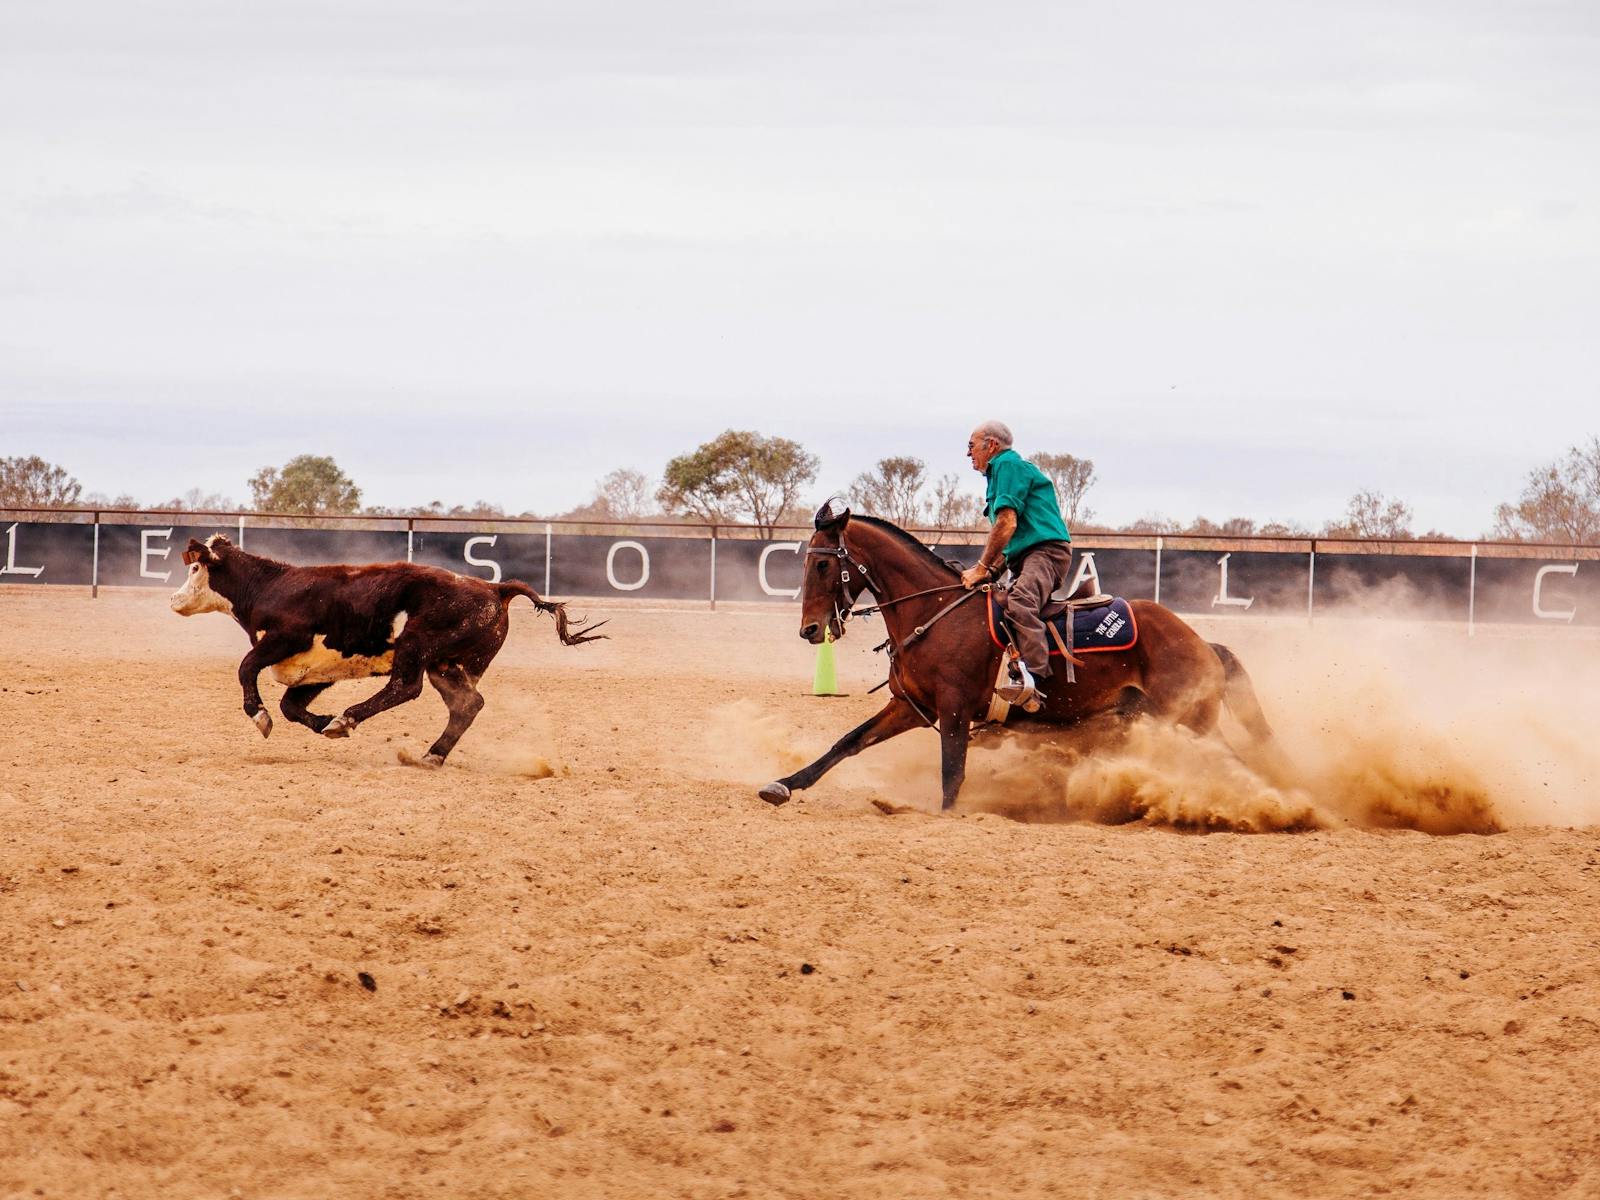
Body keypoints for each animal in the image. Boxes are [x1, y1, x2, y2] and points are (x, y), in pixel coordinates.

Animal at [172, 537, 601, 764]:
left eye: (195, 569)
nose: (175, 599)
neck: (271, 587)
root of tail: (495, 589)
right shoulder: (317, 669)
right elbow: (291, 705)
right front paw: (321, 722)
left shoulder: (283, 639)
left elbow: (247, 669)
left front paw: (262, 717)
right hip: (447, 664)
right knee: (467, 704)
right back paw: (431, 756)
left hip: (417, 645)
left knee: (406, 688)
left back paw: (348, 718)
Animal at [758, 502, 1286, 812]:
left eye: (821, 563)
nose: (809, 630)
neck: (934, 612)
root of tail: (1202, 643)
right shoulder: (910, 706)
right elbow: (846, 743)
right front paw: (783, 784)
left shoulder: (953, 712)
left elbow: (952, 776)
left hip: (1189, 721)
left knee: (1231, 761)